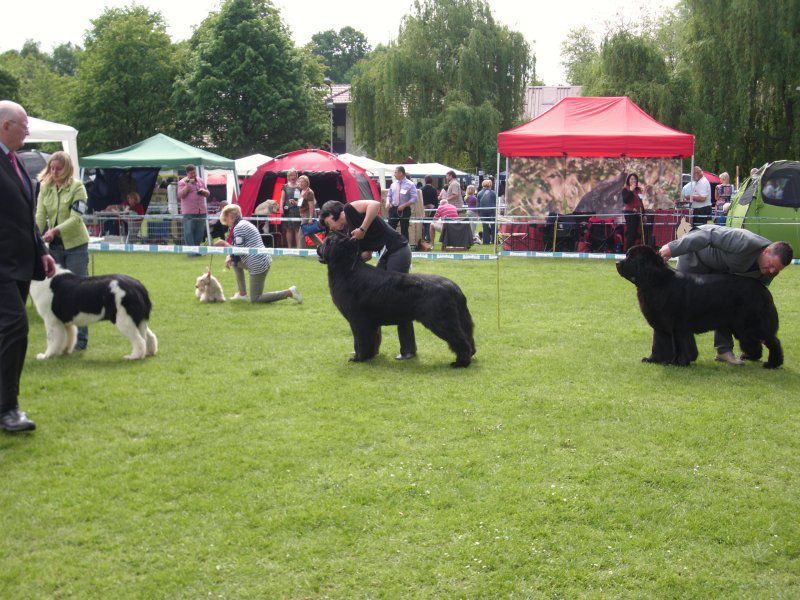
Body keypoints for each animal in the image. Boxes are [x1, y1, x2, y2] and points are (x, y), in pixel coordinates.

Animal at [30, 266, 158, 358]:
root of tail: (139, 286)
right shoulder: (65, 322)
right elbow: (69, 337)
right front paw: (65, 351)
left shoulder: (51, 320)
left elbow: (52, 339)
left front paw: (46, 356)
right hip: (137, 319)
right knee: (149, 336)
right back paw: (149, 352)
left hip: (124, 320)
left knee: (139, 341)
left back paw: (133, 357)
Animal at [316, 233, 476, 366]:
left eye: (328, 241)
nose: (318, 247)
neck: (348, 269)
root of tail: (454, 287)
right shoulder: (370, 322)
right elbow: (373, 339)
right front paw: (370, 355)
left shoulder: (358, 320)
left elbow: (359, 341)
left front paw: (358, 358)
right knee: (468, 337)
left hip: (441, 320)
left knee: (459, 339)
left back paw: (460, 363)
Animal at [620, 243, 780, 366]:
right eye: (627, 255)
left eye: (631, 258)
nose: (617, 263)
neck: (656, 281)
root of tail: (762, 288)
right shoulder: (661, 325)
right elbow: (658, 344)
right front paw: (653, 360)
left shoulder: (678, 326)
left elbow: (681, 345)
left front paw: (679, 362)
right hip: (742, 327)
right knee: (753, 341)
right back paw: (750, 357)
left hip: (753, 323)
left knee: (772, 341)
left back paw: (773, 364)